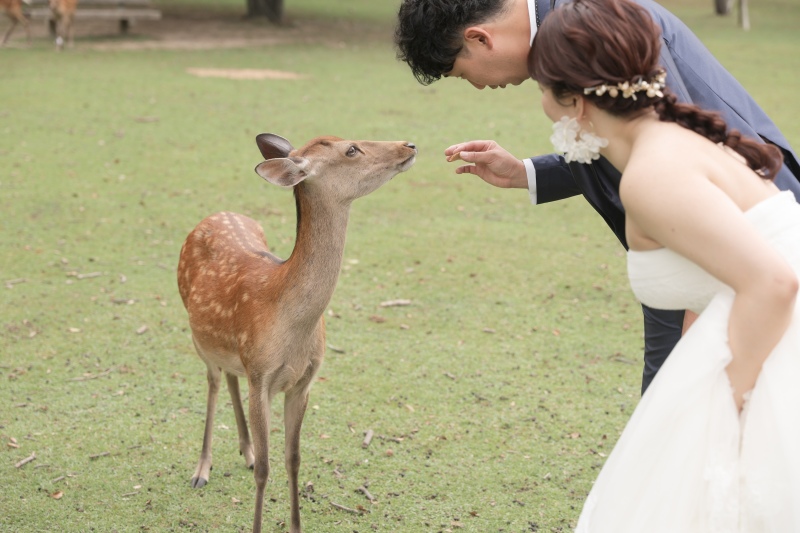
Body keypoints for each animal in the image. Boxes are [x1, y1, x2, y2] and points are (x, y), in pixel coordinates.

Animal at [177, 133, 417, 533]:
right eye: (351, 149)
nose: (408, 145)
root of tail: (213, 215)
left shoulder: (303, 381)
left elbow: (293, 459)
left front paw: (295, 525)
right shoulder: (261, 376)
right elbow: (266, 470)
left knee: (230, 376)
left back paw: (245, 450)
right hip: (198, 339)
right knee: (213, 382)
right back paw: (202, 469)